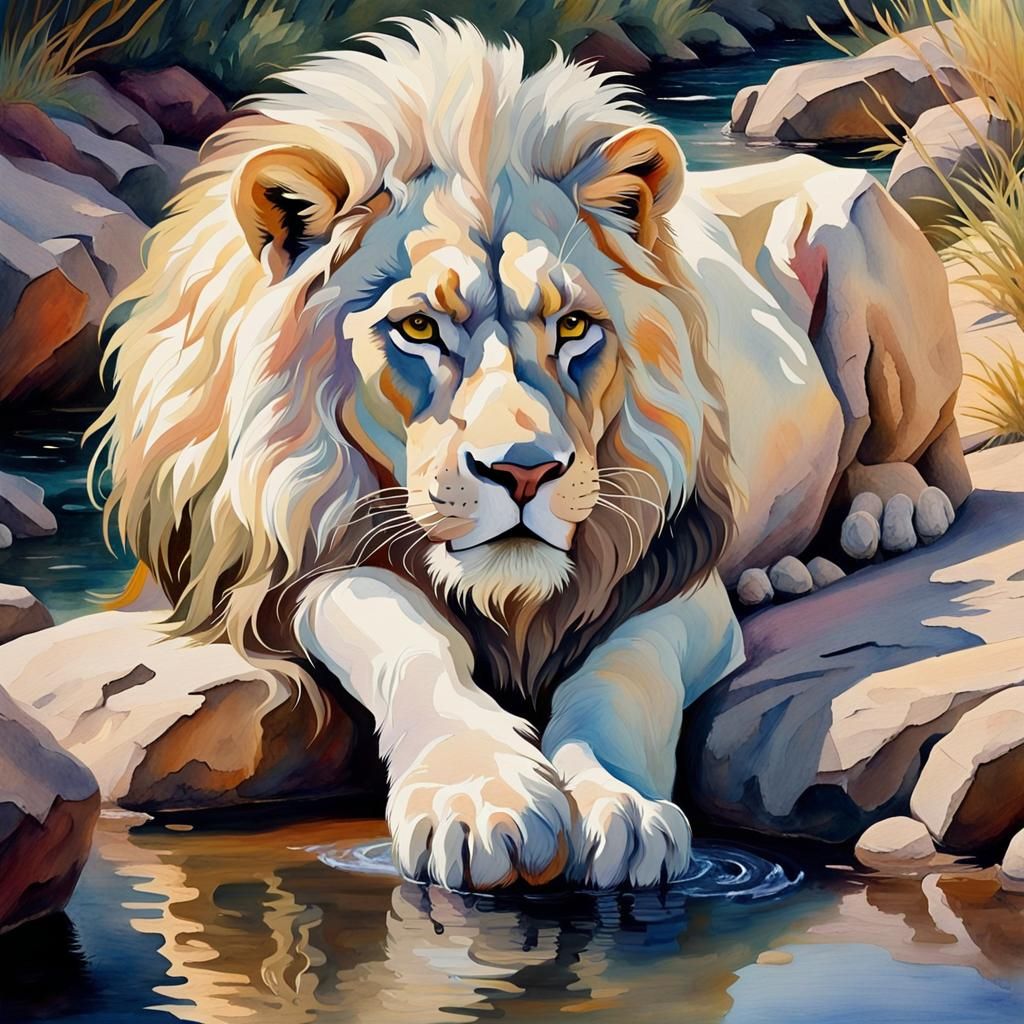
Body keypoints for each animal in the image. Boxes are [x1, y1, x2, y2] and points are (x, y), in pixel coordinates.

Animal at [92, 18, 969, 891]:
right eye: (418, 327)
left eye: (573, 326)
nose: (524, 472)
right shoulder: (284, 568)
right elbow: (404, 630)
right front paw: (479, 798)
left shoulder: (667, 559)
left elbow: (624, 675)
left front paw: (619, 806)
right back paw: (783, 574)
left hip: (860, 231)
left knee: (916, 455)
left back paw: (879, 518)